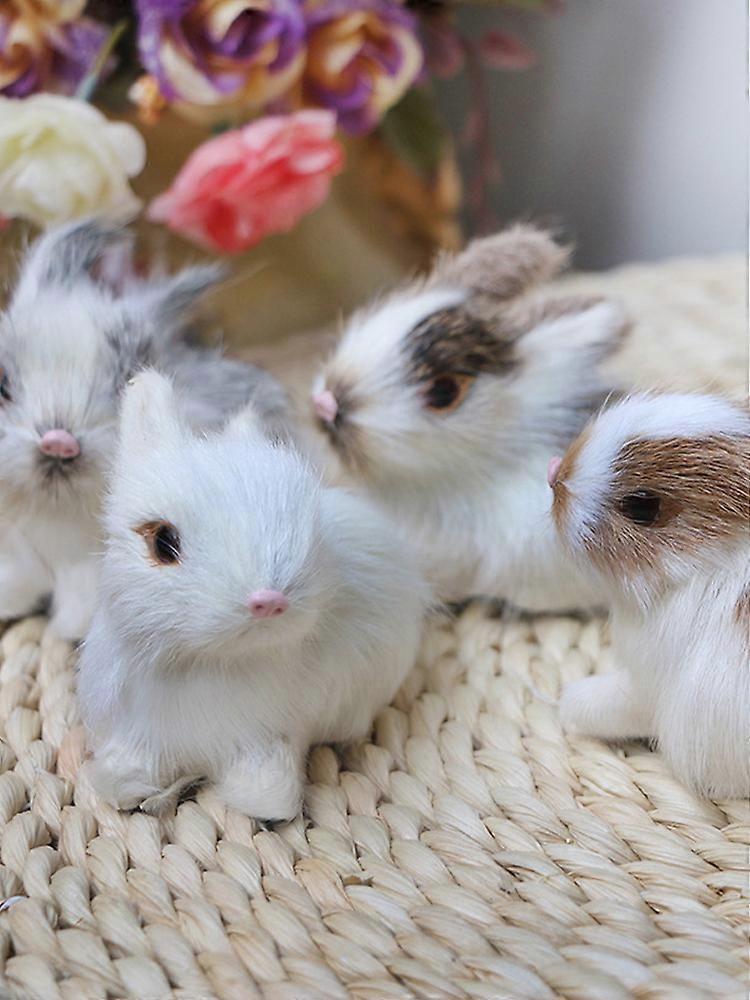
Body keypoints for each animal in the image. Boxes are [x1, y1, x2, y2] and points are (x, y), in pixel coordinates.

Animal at [77, 370, 429, 820]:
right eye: (163, 542)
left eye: (309, 523)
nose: (268, 600)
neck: (209, 664)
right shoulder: (141, 731)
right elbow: (123, 774)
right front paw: (131, 789)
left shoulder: (268, 738)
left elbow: (266, 790)